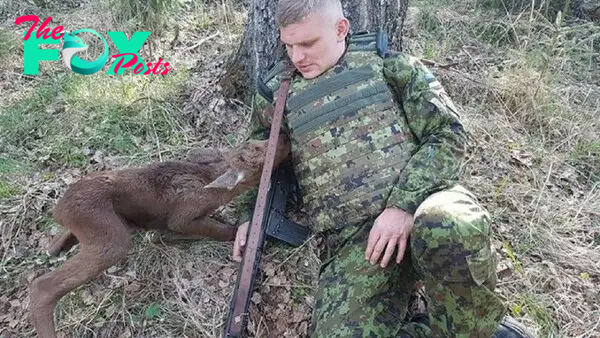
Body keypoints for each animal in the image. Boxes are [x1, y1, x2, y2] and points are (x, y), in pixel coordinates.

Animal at [28, 135, 290, 338]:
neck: (212, 186)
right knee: (43, 285)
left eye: (256, 142)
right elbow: (219, 230)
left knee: (54, 245)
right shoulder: (183, 215)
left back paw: (54, 249)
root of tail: (59, 211)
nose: (285, 136)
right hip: (110, 237)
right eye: (258, 155)